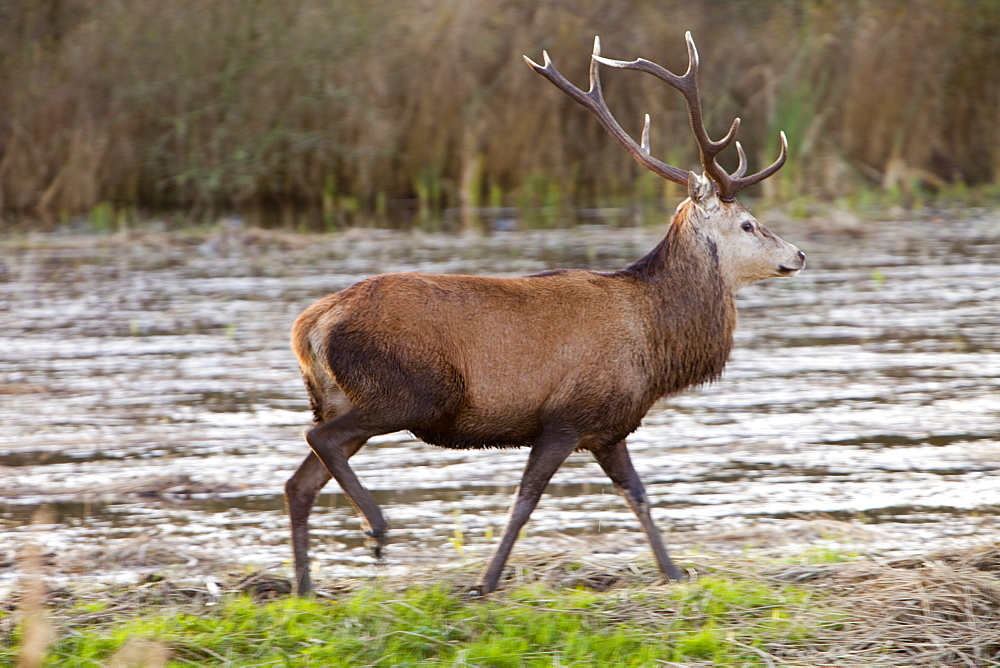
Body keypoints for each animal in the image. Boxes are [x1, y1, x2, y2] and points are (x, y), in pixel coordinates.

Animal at [284, 32, 804, 596]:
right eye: (749, 224)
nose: (798, 254)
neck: (654, 341)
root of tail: (310, 327)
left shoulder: (609, 427)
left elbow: (638, 495)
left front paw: (673, 572)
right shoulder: (565, 416)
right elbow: (526, 501)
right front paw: (487, 581)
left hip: (339, 396)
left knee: (300, 480)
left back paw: (305, 587)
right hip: (407, 390)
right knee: (319, 440)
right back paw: (376, 529)